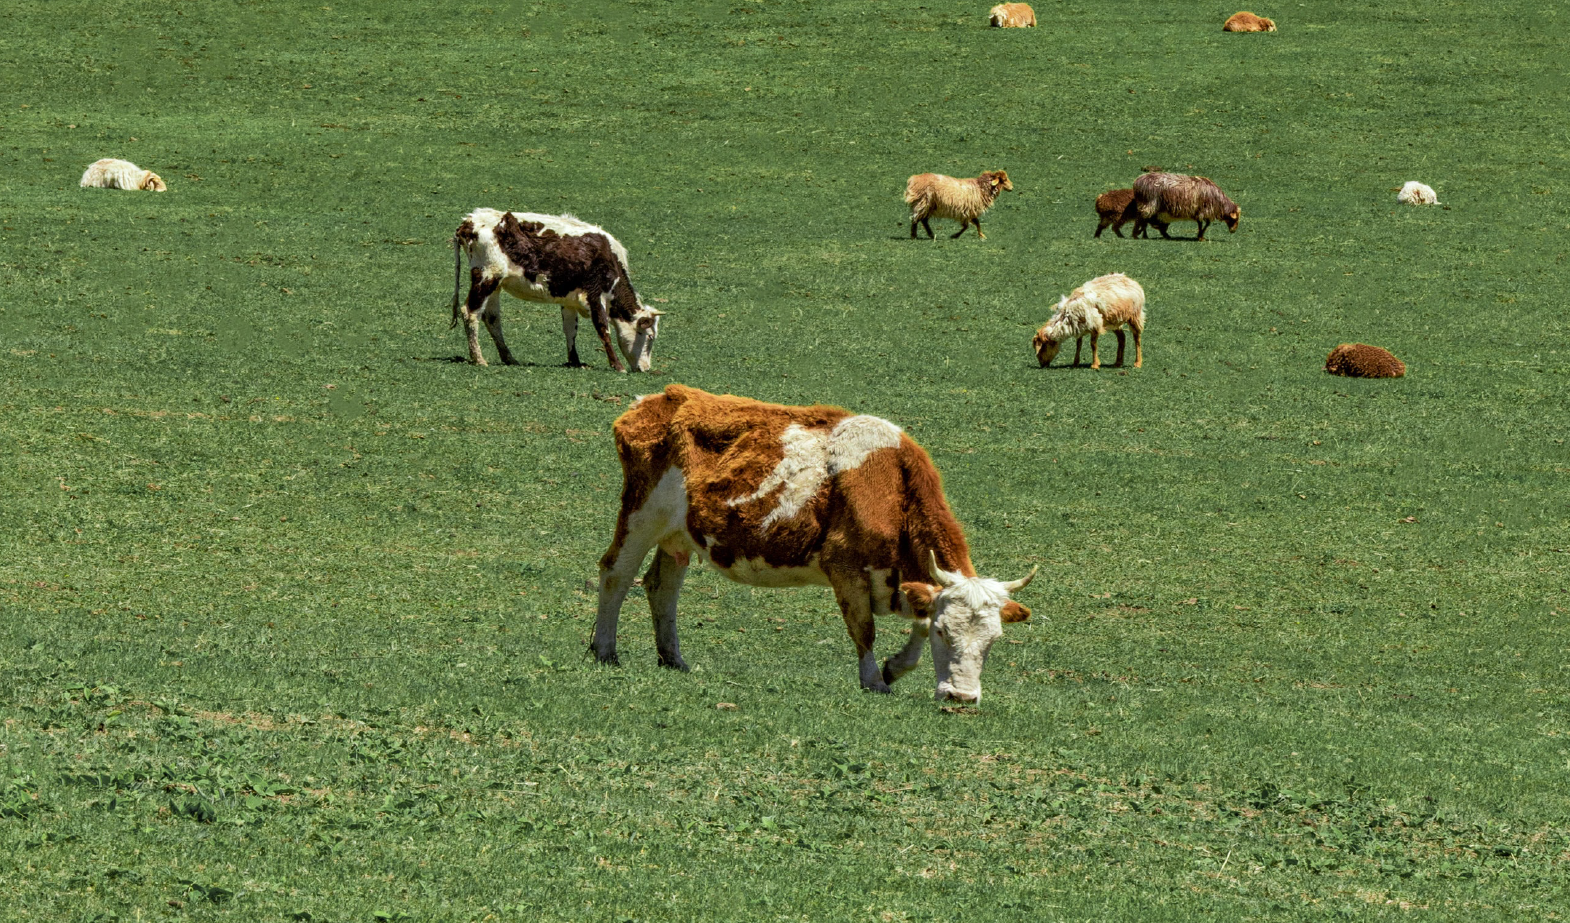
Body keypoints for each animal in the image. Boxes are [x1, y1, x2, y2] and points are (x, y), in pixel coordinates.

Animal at [449, 208, 662, 372]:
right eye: (650, 337)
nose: (645, 369)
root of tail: (470, 221)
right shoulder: (595, 295)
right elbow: (603, 329)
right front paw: (617, 365)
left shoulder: (569, 301)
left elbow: (570, 329)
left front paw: (575, 361)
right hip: (486, 277)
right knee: (470, 312)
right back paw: (478, 358)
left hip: (496, 284)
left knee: (492, 318)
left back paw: (508, 357)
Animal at [590, 386, 1029, 703]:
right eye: (945, 633)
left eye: (993, 641)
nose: (962, 698)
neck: (892, 485)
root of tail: (658, 399)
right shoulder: (845, 568)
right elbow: (864, 631)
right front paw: (874, 680)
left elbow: (915, 624)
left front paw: (895, 668)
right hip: (640, 514)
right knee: (615, 574)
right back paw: (604, 651)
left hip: (677, 535)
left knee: (661, 587)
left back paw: (673, 659)